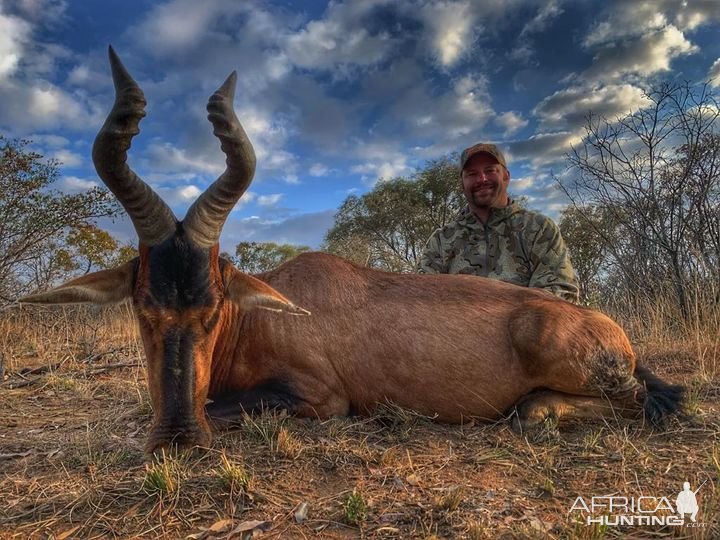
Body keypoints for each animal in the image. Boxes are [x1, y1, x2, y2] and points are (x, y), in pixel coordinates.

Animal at [19, 48, 684, 454]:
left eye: (212, 309)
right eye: (141, 307)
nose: (179, 438)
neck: (261, 315)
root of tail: (611, 330)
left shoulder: (321, 399)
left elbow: (228, 404)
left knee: (626, 401)